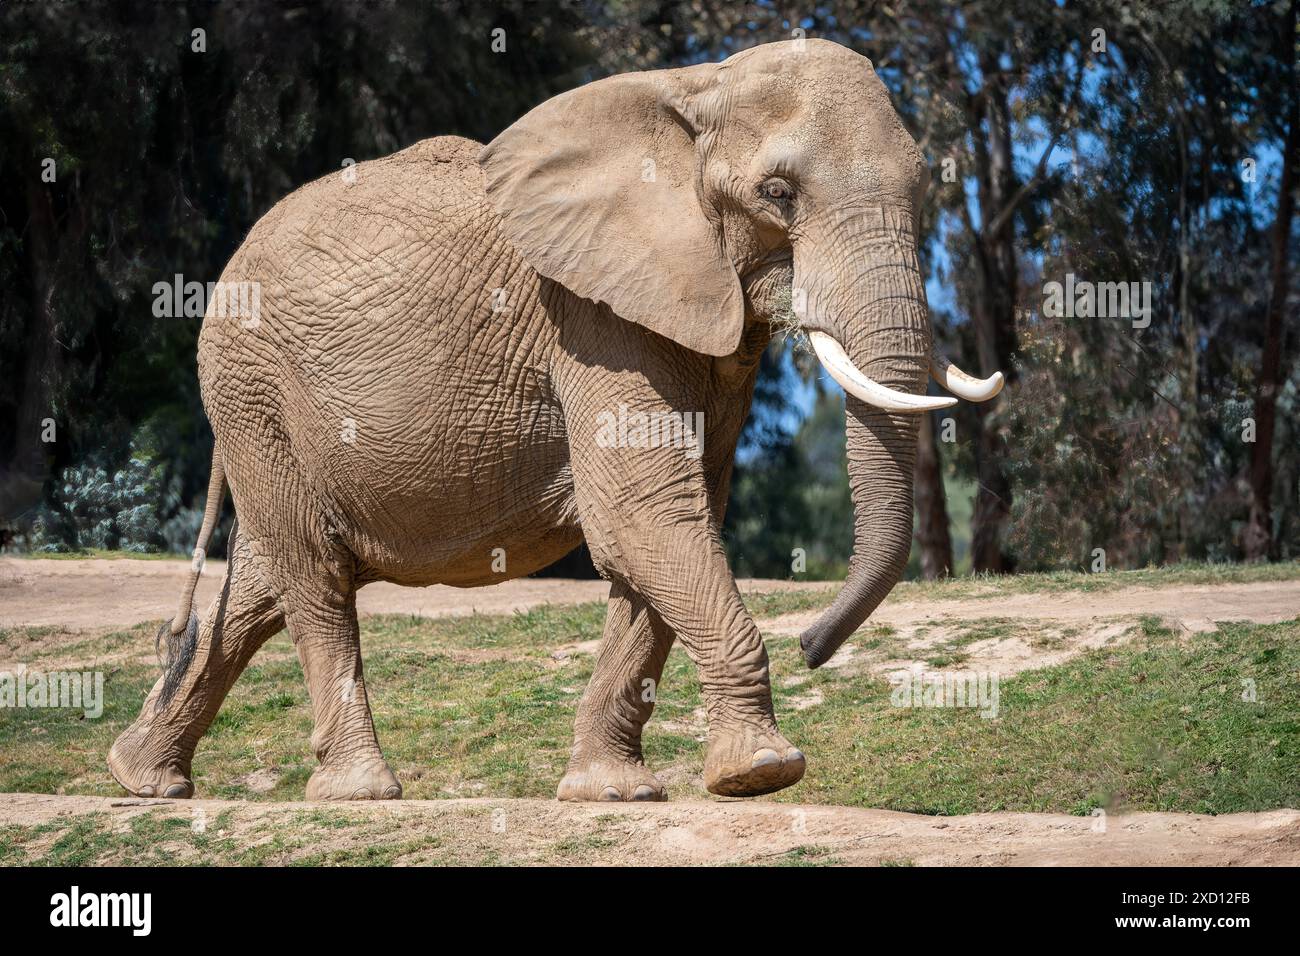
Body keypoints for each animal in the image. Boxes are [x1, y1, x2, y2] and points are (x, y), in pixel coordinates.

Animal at [109, 41, 1003, 811]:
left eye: (924, 189)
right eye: (778, 194)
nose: (813, 644)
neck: (693, 91)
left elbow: (674, 524)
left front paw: (614, 793)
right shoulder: (591, 317)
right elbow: (644, 516)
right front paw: (761, 774)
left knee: (265, 581)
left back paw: (143, 779)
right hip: (252, 388)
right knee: (313, 572)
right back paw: (357, 793)